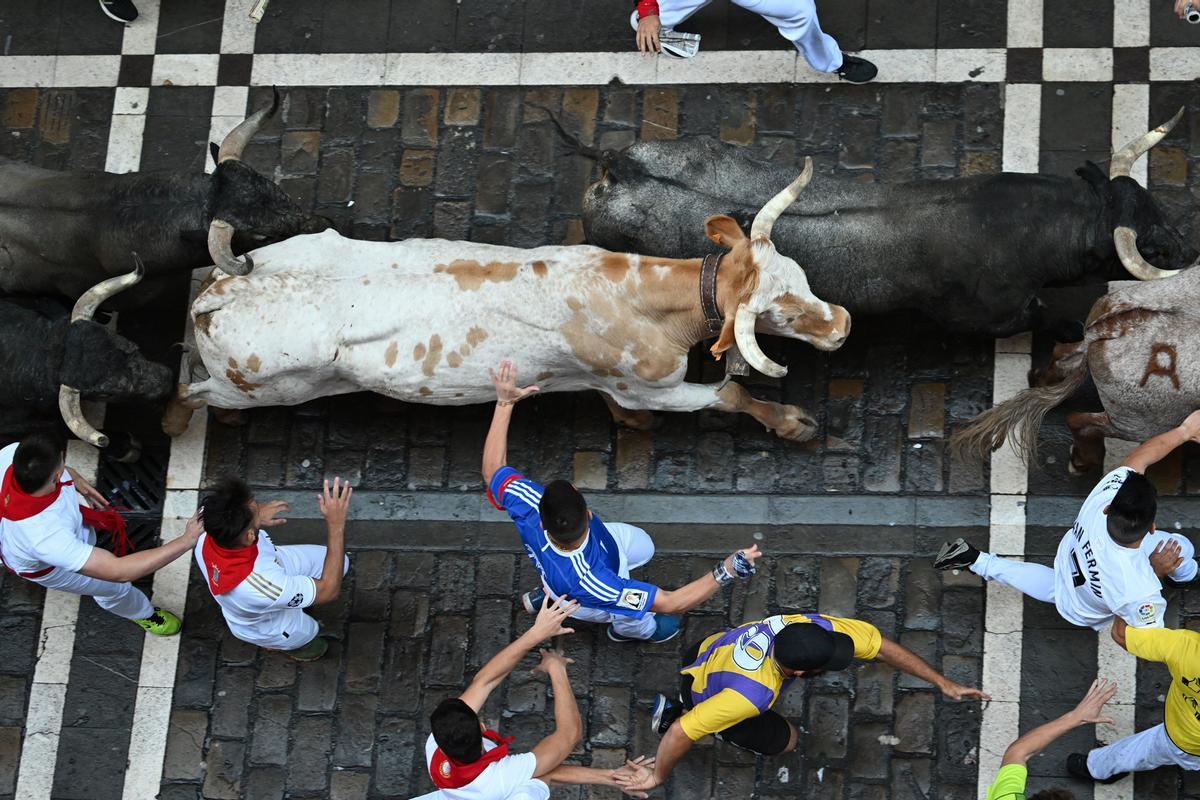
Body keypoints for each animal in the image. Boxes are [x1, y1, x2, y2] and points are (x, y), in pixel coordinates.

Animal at [159, 164, 849, 443]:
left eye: (802, 274)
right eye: (779, 313)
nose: (841, 324)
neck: (639, 297)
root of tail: (224, 289)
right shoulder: (650, 384)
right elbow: (729, 394)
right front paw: (793, 423)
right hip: (266, 387)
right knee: (189, 392)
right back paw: (181, 423)